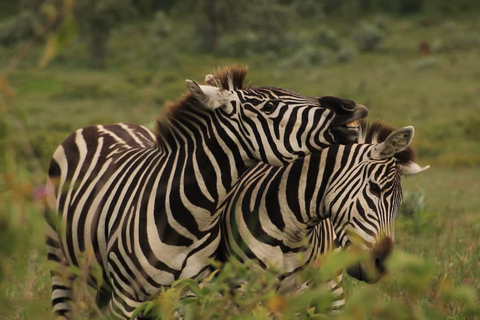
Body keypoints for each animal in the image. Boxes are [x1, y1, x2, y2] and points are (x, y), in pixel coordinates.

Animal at [45, 65, 368, 318]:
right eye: (268, 108)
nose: (353, 107)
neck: (192, 216)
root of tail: (101, 125)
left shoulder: (190, 292)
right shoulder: (127, 295)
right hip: (61, 265)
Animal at [216, 120, 430, 310]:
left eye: (399, 203)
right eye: (374, 188)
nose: (381, 266)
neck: (288, 233)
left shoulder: (301, 289)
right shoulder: (245, 287)